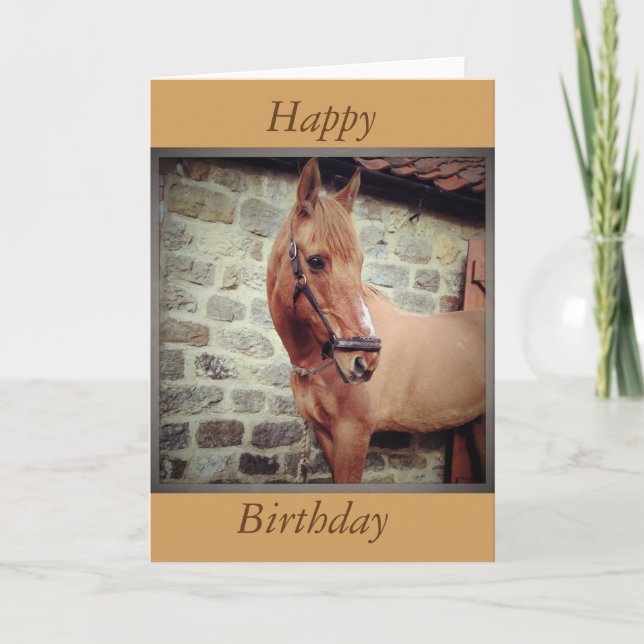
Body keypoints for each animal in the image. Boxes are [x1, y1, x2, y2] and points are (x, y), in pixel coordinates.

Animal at [266, 158, 485, 483]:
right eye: (316, 261)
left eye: (359, 262)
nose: (365, 361)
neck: (315, 362)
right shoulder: (326, 434)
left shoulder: (353, 433)